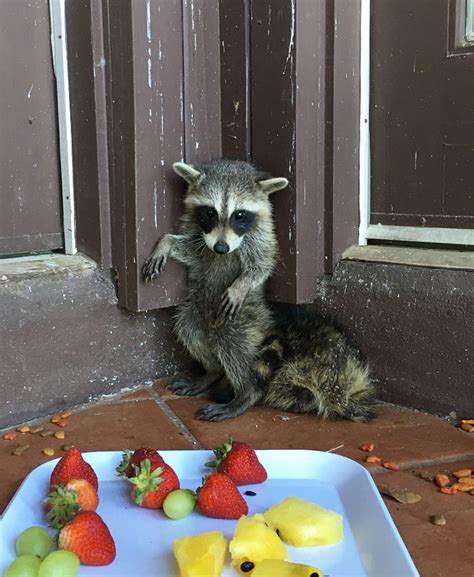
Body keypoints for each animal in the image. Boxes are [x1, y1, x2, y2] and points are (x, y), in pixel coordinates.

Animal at [143, 160, 376, 420]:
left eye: (239, 215)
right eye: (210, 212)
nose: (221, 248)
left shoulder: (264, 236)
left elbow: (262, 264)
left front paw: (242, 283)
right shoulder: (200, 238)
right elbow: (193, 251)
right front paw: (166, 242)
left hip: (244, 317)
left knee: (235, 345)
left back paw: (245, 393)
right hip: (195, 309)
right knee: (188, 328)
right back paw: (212, 371)